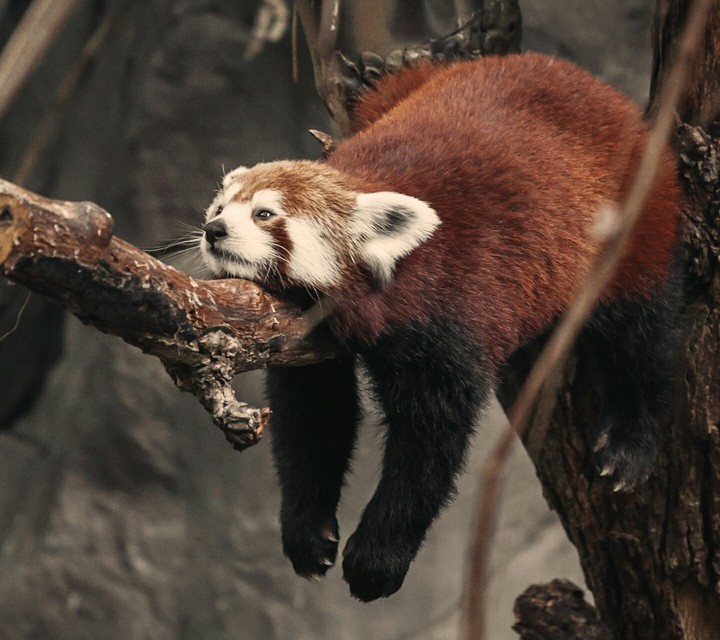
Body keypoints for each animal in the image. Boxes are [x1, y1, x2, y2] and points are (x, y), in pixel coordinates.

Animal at [199, 53, 681, 602]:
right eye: (220, 207)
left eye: (264, 214)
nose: (213, 230)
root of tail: (587, 82)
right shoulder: (307, 337)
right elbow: (313, 418)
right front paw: (308, 532)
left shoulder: (449, 311)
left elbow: (429, 443)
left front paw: (377, 560)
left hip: (631, 217)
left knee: (643, 330)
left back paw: (629, 444)